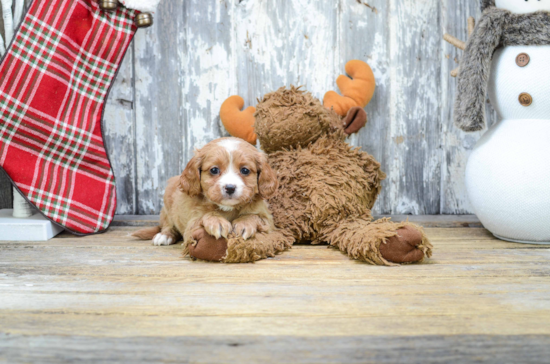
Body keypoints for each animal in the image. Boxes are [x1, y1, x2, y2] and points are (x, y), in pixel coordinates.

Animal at [133, 136, 280, 247]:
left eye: (245, 170)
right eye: (214, 170)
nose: (230, 187)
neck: (227, 209)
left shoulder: (269, 222)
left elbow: (254, 216)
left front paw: (244, 223)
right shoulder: (191, 225)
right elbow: (204, 216)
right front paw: (217, 221)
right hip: (167, 206)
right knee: (168, 225)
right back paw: (164, 236)